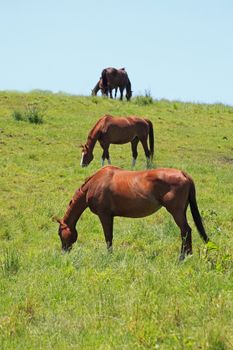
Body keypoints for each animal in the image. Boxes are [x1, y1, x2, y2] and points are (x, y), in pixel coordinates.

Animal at [56, 165, 209, 260]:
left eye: (60, 233)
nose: (64, 252)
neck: (94, 183)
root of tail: (183, 174)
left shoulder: (104, 215)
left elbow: (108, 237)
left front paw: (109, 256)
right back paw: (188, 255)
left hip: (176, 212)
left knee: (185, 230)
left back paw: (182, 257)